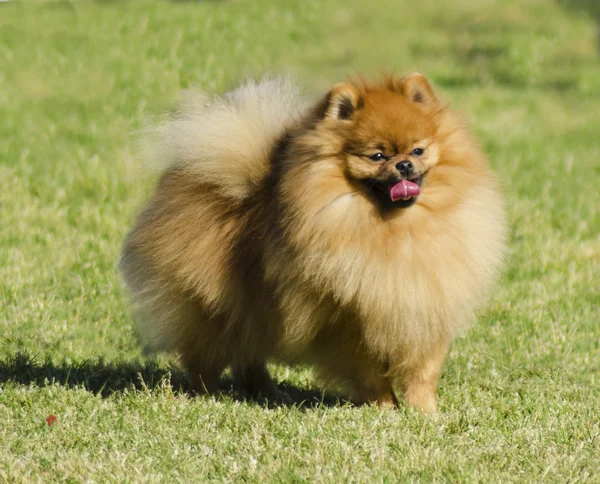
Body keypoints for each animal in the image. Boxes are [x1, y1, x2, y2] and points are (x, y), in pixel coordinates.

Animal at [120, 74, 506, 412]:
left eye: (418, 150)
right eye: (377, 156)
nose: (405, 165)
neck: (396, 231)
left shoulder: (426, 308)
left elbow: (422, 374)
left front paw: (425, 414)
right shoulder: (349, 323)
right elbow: (370, 374)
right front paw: (384, 409)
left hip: (255, 306)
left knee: (248, 352)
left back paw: (266, 391)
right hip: (214, 306)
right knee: (206, 355)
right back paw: (206, 394)